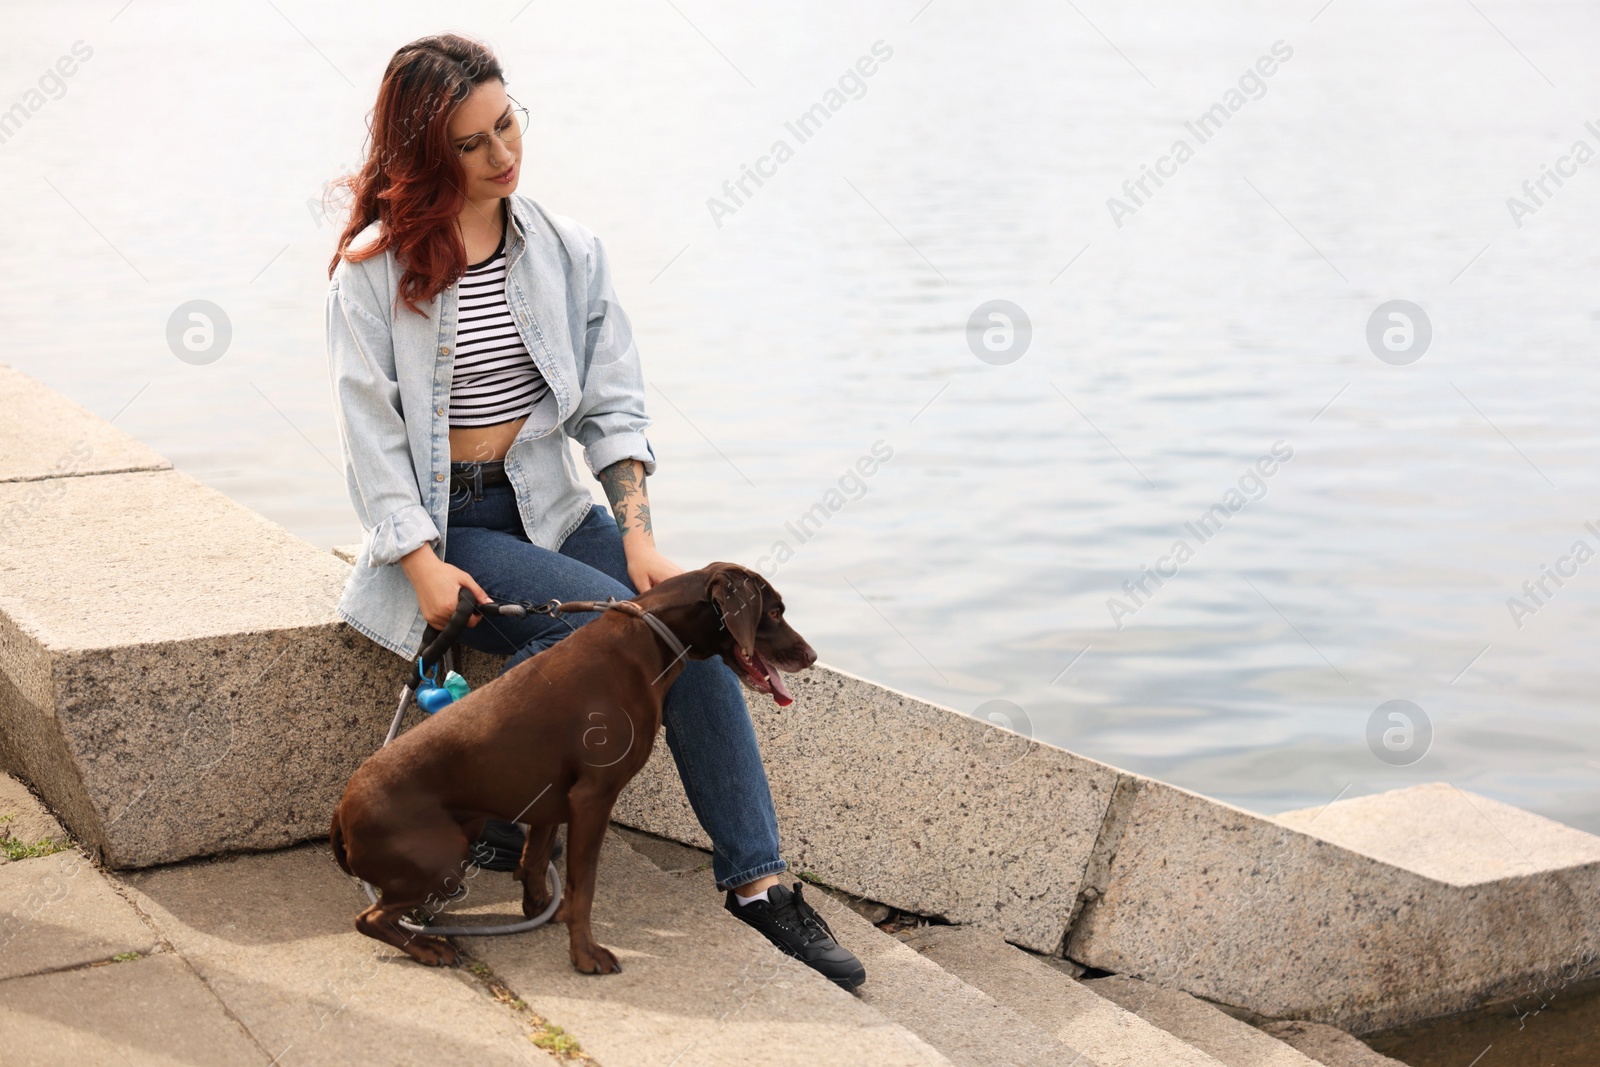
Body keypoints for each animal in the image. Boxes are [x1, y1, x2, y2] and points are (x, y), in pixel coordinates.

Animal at [332, 563, 819, 972]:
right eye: (774, 611)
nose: (812, 655)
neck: (650, 638)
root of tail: (342, 810)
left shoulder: (551, 800)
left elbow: (534, 862)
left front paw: (541, 909)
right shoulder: (593, 798)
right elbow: (584, 887)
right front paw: (585, 955)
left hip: (463, 832)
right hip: (445, 856)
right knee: (369, 918)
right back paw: (428, 948)